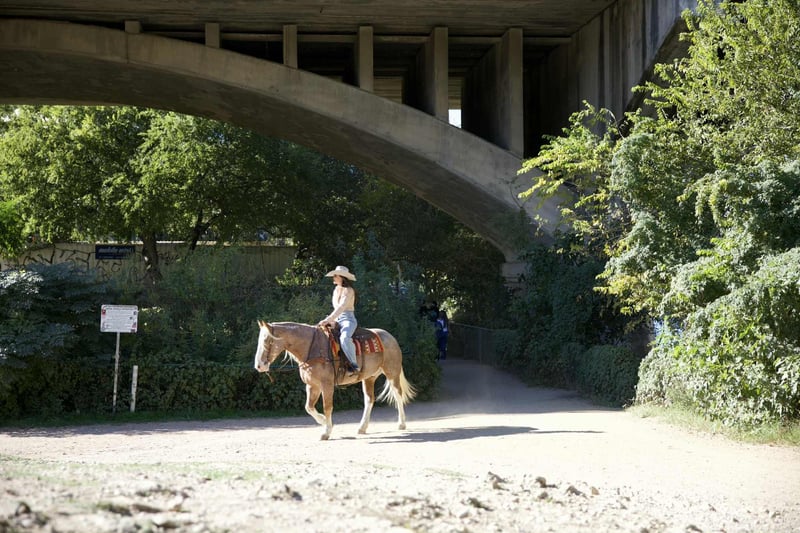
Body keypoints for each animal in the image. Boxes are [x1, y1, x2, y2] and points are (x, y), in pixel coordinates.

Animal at [253, 320, 417, 440]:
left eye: (267, 341)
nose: (259, 366)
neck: (312, 348)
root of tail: (390, 337)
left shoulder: (327, 385)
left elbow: (327, 407)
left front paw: (326, 431)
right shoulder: (312, 386)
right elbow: (309, 407)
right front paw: (324, 422)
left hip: (392, 373)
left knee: (398, 395)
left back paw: (401, 424)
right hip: (369, 378)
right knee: (369, 400)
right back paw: (362, 427)